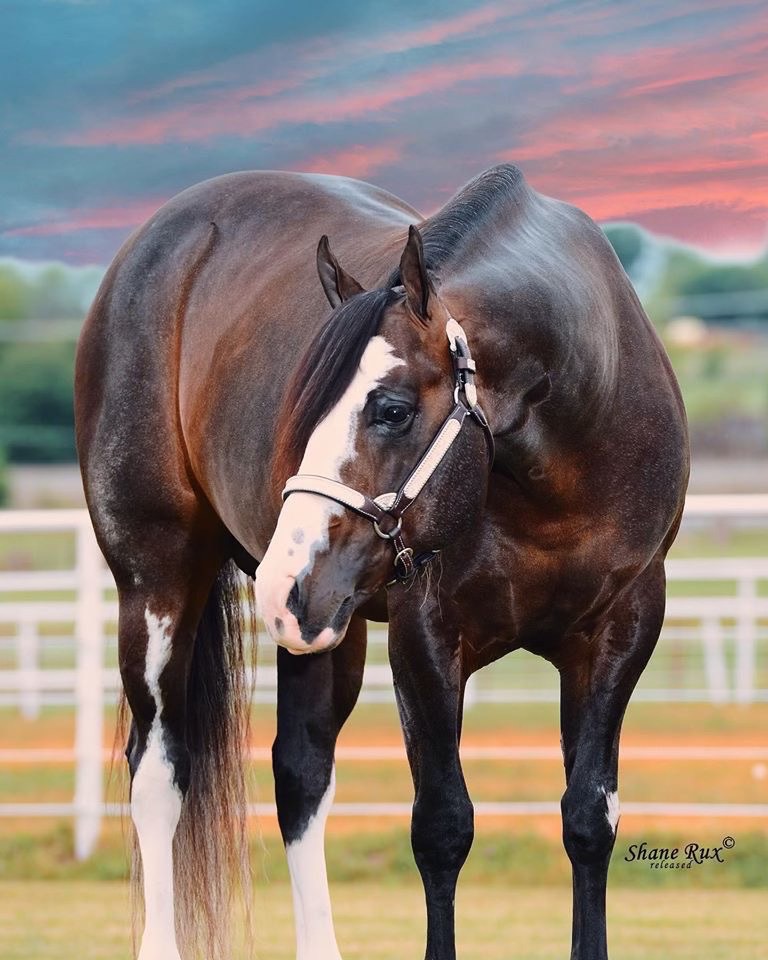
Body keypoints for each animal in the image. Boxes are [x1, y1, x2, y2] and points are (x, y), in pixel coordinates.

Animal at [76, 165, 688, 960]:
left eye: (391, 409)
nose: (281, 584)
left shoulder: (621, 630)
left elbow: (588, 818)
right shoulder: (424, 637)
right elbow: (442, 827)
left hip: (324, 627)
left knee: (300, 772)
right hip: (159, 584)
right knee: (158, 772)